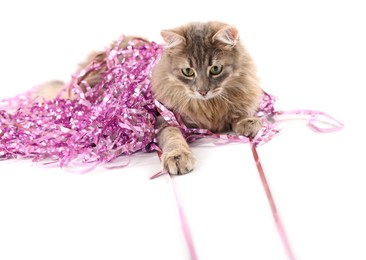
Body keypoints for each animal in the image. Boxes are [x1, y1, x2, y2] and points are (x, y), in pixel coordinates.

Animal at [37, 20, 262, 175]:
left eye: (215, 69)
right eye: (188, 72)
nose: (202, 91)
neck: (209, 106)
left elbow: (240, 110)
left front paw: (249, 122)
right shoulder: (164, 119)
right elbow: (173, 138)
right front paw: (178, 157)